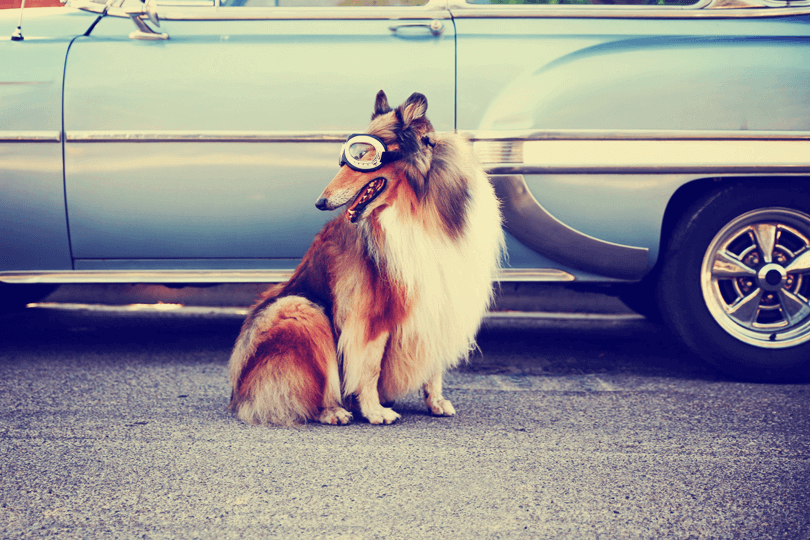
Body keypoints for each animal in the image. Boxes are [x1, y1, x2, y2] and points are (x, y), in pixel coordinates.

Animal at [227, 90, 502, 424]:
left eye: (364, 156)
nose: (320, 202)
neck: (417, 210)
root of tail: (238, 393)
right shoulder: (370, 310)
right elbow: (370, 365)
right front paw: (374, 411)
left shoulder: (439, 301)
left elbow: (433, 363)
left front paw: (436, 402)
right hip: (300, 309)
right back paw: (333, 411)